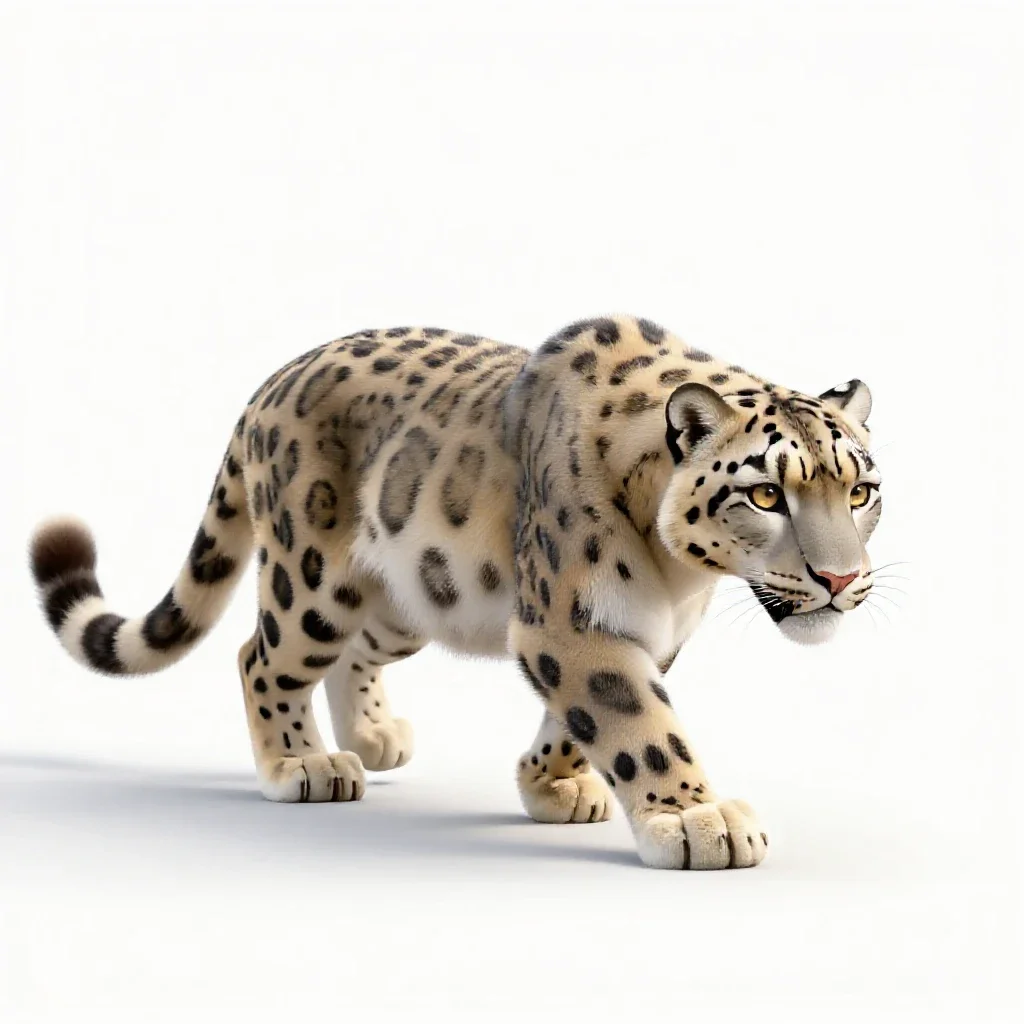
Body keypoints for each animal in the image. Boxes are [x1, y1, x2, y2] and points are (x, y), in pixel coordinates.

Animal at [29, 315, 882, 870]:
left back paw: (374, 735)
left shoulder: (644, 634)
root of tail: (271, 383)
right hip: (312, 582)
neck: (683, 578)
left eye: (861, 490)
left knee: (353, 653)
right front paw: (698, 818)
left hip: (407, 597)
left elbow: (580, 718)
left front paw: (552, 784)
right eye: (767, 494)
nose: (840, 578)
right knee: (258, 656)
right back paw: (303, 765)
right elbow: (638, 723)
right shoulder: (569, 624)